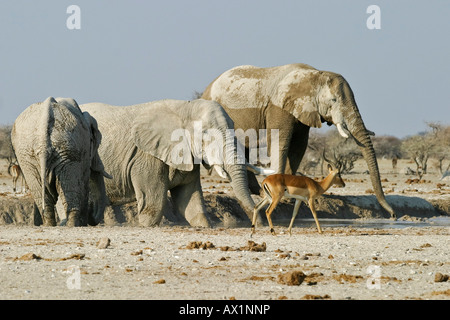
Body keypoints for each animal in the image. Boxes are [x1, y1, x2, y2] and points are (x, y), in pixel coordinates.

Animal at [11, 96, 110, 226]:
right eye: (97, 143)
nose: (91, 215)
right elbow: (85, 182)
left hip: (30, 156)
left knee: (42, 193)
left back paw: (50, 225)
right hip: (66, 151)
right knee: (70, 187)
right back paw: (73, 225)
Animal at [79, 99, 268, 226]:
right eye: (205, 133)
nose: (259, 225)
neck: (184, 108)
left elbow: (191, 204)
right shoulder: (146, 157)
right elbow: (153, 206)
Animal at [202, 63, 396, 218]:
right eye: (333, 100)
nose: (392, 214)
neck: (315, 75)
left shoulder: (303, 112)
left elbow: (298, 146)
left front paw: (288, 190)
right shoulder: (279, 107)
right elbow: (280, 142)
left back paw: (256, 190)